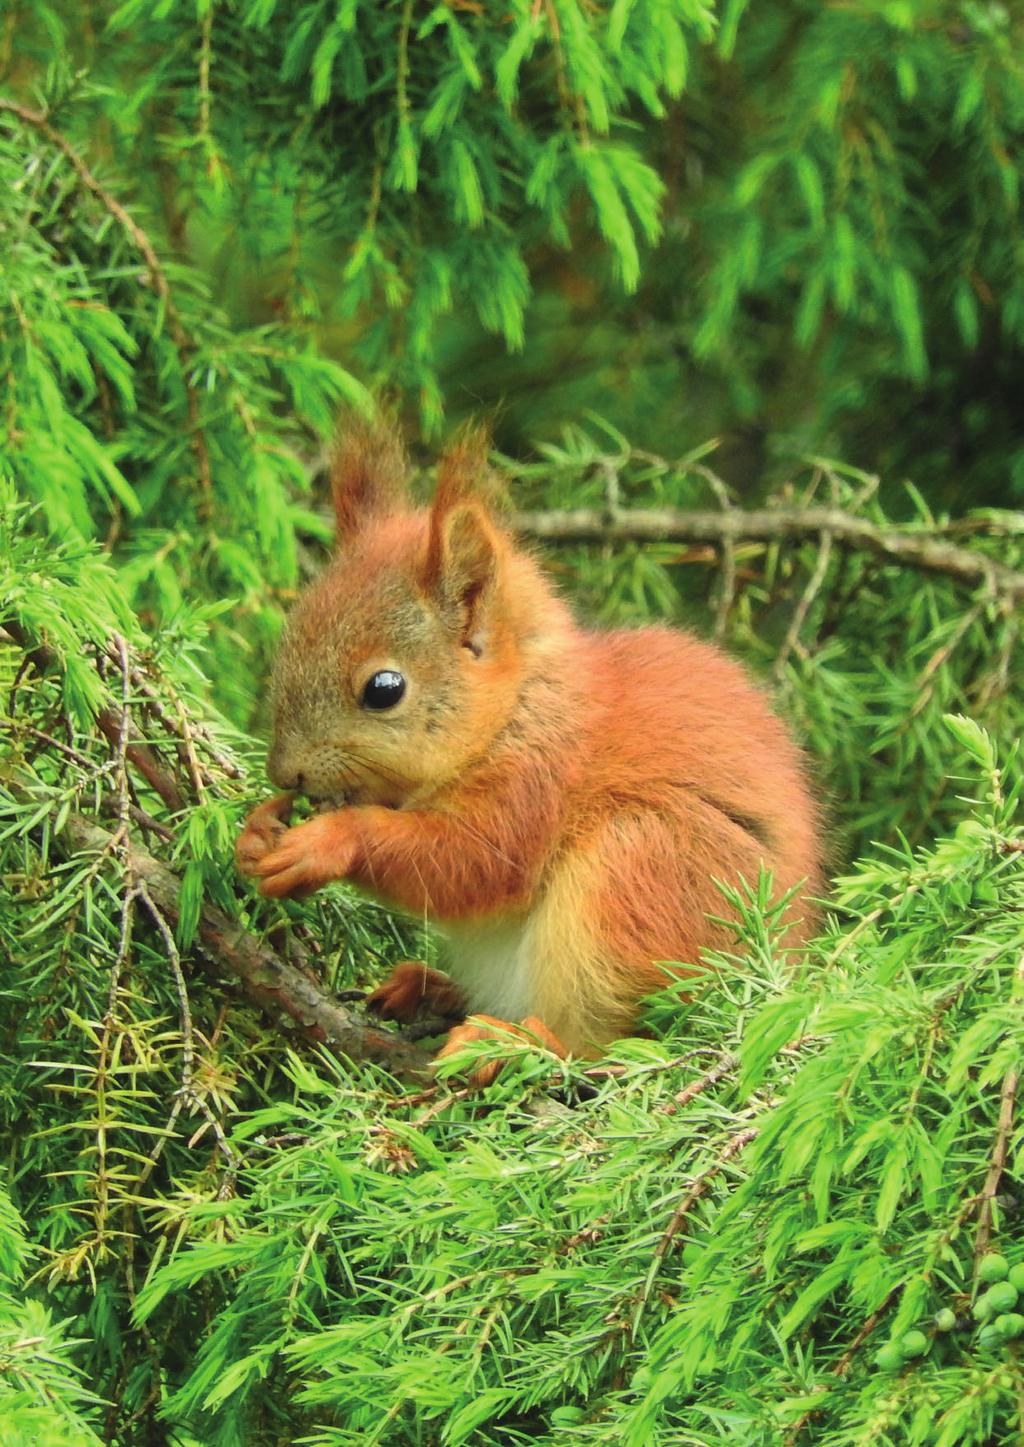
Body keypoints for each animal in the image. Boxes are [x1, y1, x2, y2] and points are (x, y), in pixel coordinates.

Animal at [234, 419, 821, 1076]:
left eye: (384, 689)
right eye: (288, 638)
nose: (284, 773)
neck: (516, 709)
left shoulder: (535, 783)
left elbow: (471, 865)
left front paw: (328, 841)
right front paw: (257, 833)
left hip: (644, 875)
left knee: (600, 1045)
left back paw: (508, 1042)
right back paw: (429, 988)